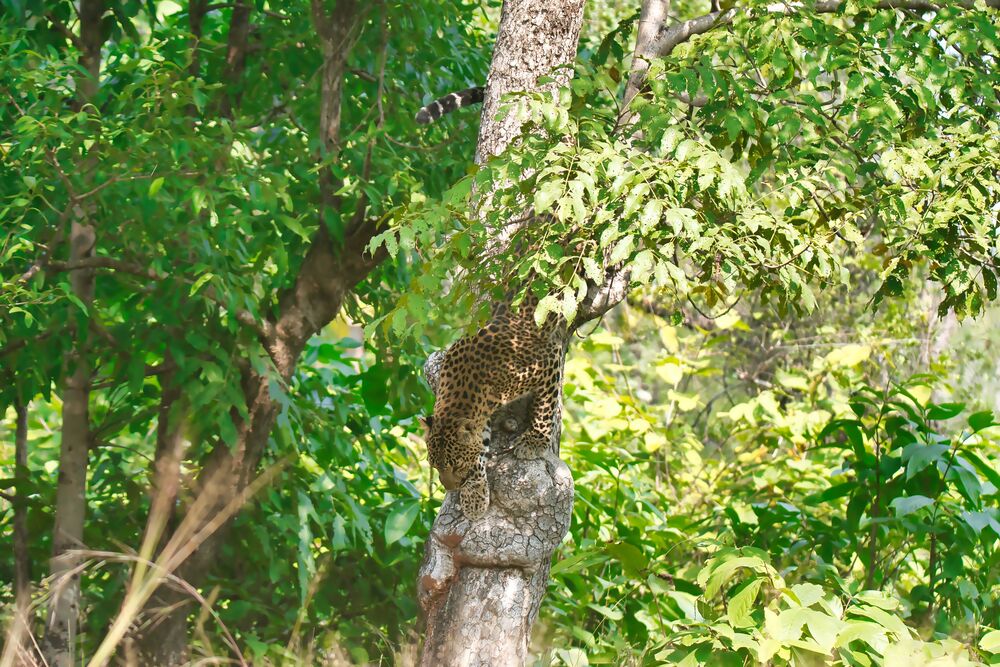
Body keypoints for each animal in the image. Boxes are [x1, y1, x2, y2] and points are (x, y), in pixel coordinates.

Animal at [423, 294, 566, 520]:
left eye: (457, 465)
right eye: (434, 465)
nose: (450, 488)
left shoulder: (548, 360)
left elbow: (545, 407)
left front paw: (534, 443)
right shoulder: (480, 415)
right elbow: (481, 449)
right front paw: (475, 496)